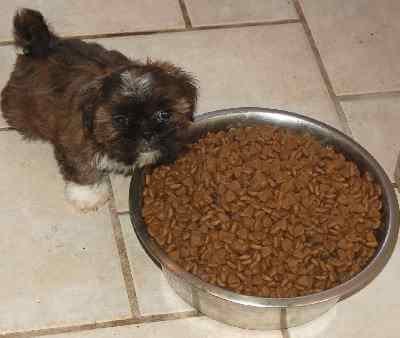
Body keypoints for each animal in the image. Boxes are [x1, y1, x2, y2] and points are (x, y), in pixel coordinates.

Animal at [0, 7, 198, 211]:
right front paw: (87, 195)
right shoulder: (76, 143)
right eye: (120, 120)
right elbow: (82, 169)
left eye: (164, 114)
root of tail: (44, 45)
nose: (147, 134)